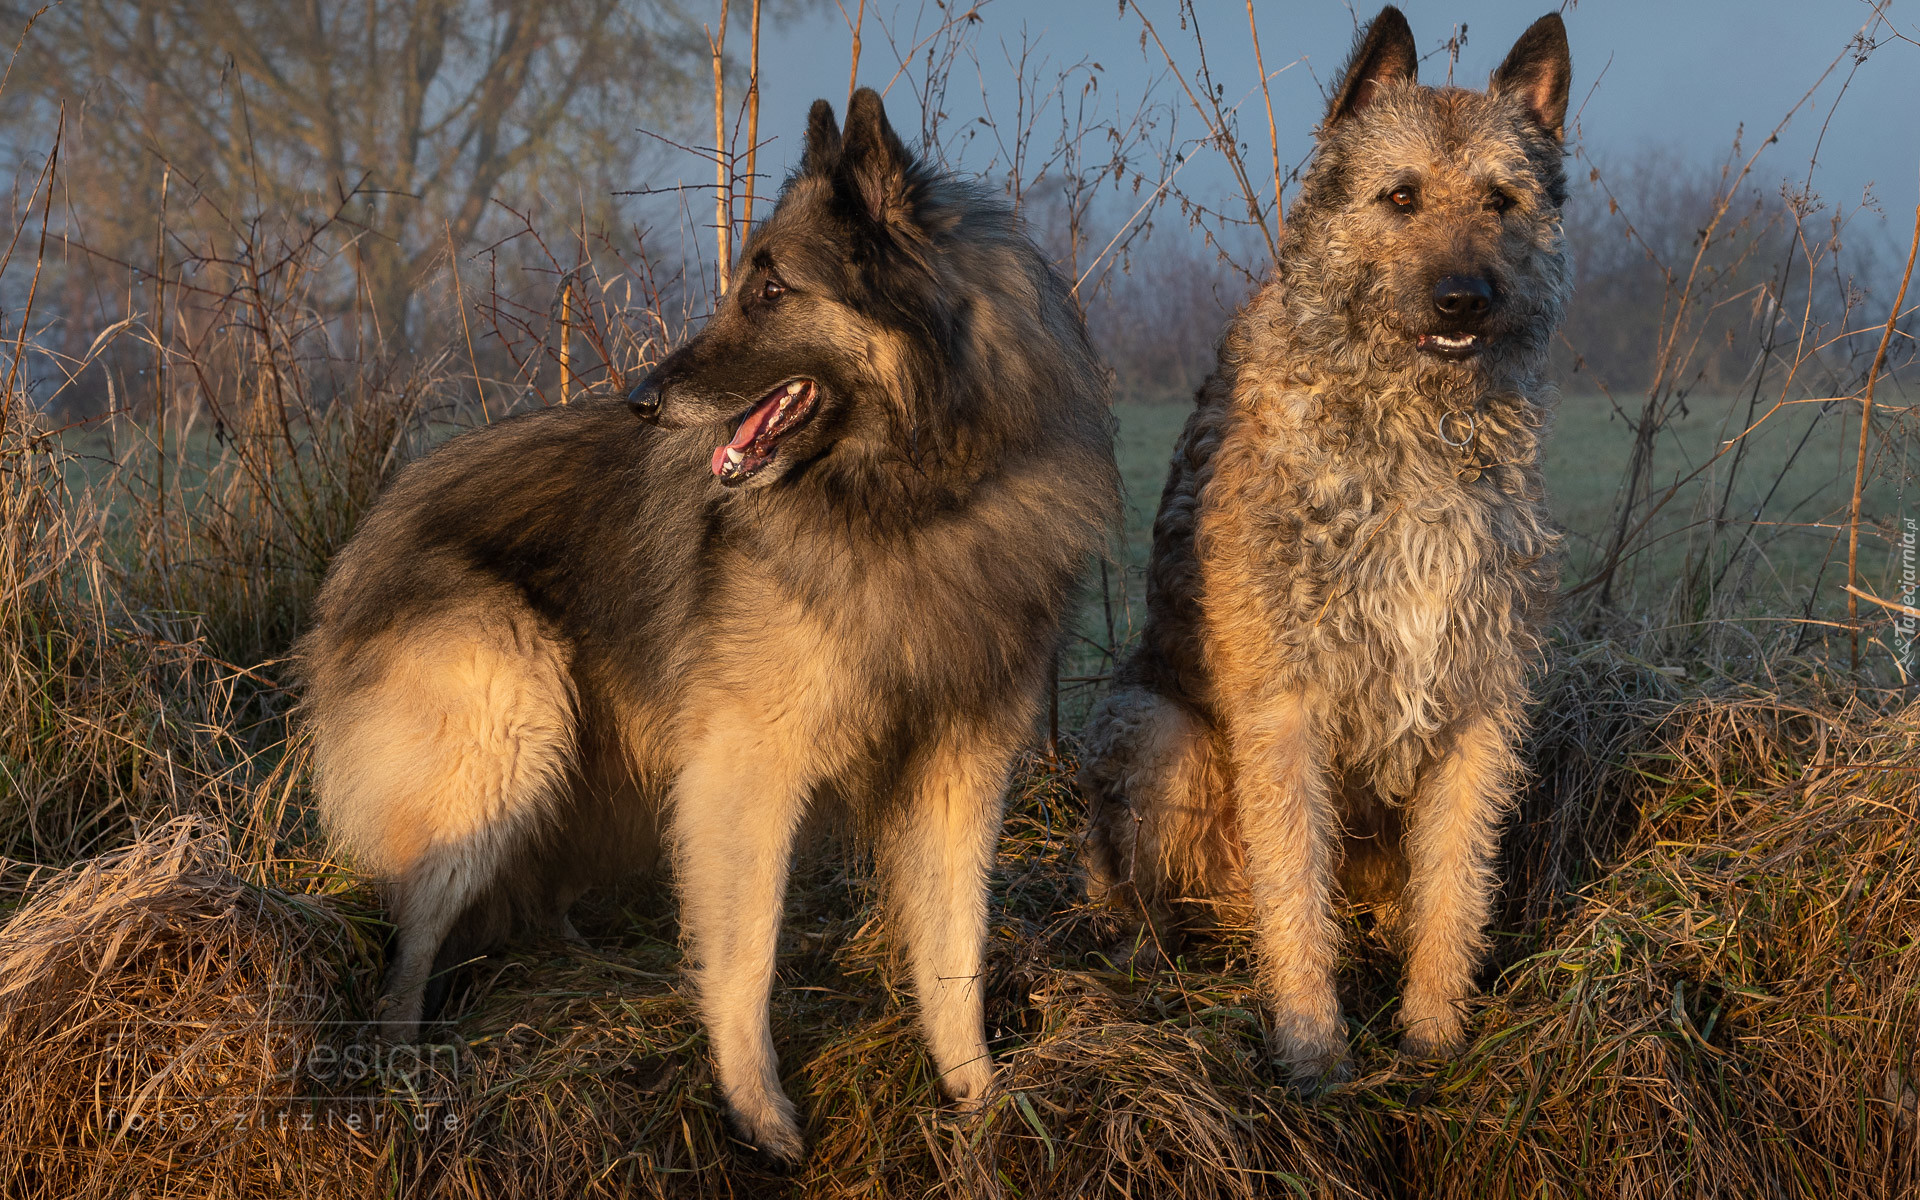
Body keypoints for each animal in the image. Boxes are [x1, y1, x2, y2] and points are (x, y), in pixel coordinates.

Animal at [295, 88, 1113, 1159]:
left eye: (772, 292)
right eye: (742, 286)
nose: (641, 402)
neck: (914, 503)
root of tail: (371, 530)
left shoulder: (958, 773)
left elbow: (956, 952)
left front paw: (979, 1102)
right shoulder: (746, 772)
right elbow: (748, 953)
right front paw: (757, 1114)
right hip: (506, 738)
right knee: (409, 941)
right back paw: (402, 1073)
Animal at [1082, 7, 1574, 1075]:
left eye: (1502, 200)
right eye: (1401, 196)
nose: (1465, 297)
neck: (1418, 423)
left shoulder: (1480, 705)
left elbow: (1456, 887)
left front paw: (1433, 1038)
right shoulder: (1286, 709)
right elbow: (1296, 894)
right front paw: (1313, 1051)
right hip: (1161, 730)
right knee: (1161, 899)